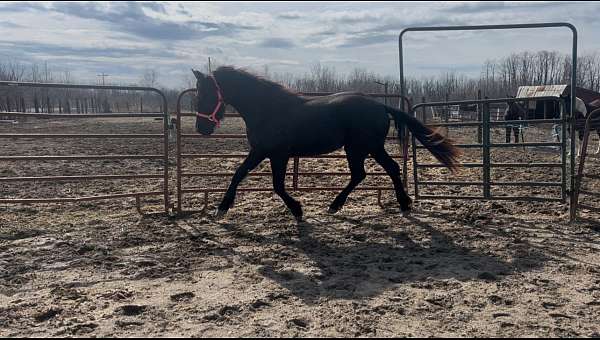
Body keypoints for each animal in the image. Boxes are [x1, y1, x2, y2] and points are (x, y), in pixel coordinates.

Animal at [191, 66, 460, 220]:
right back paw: (403, 204)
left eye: (206, 94)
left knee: (363, 174)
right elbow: (238, 173)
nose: (201, 129)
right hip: (369, 148)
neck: (268, 109)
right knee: (386, 169)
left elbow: (277, 186)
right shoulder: (259, 151)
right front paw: (222, 208)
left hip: (360, 148)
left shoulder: (278, 154)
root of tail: (380, 105)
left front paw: (298, 211)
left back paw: (335, 205)